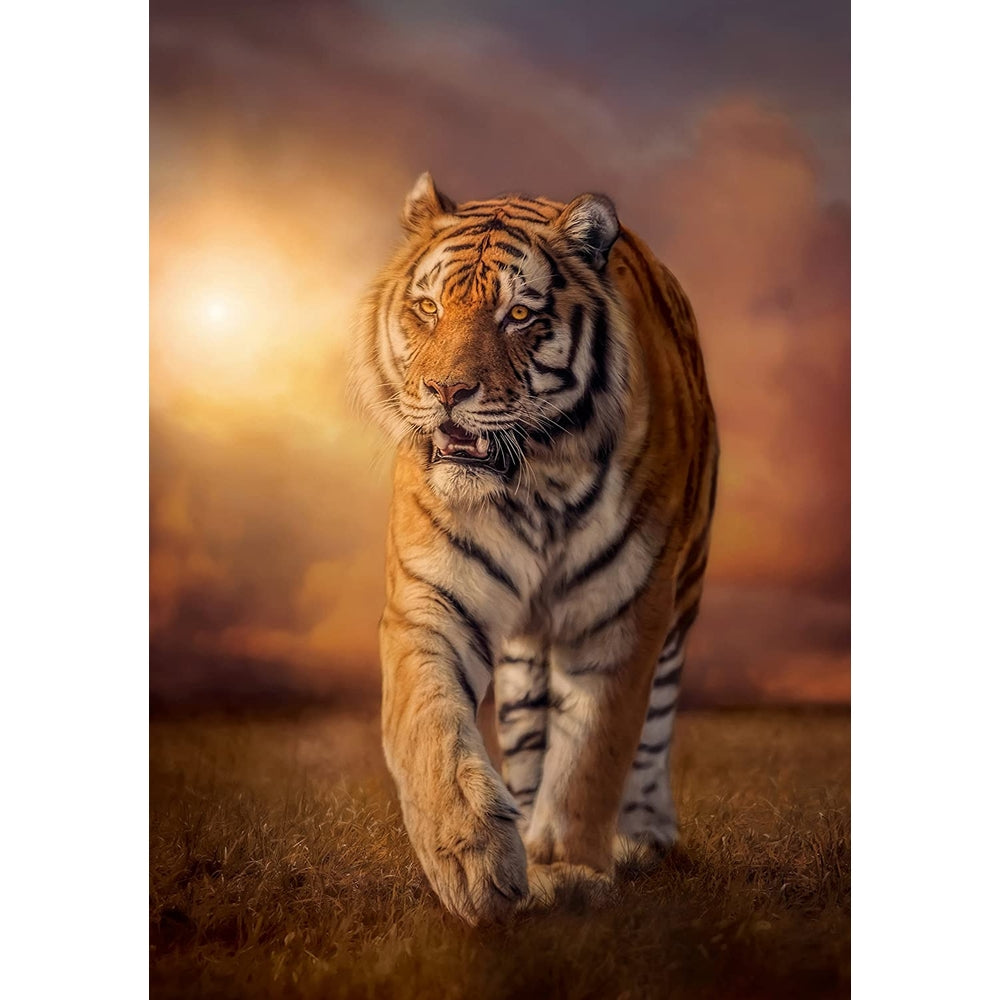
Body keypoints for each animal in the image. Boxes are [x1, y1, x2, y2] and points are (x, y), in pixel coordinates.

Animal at [350, 173, 718, 925]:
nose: (447, 392)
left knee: (654, 727)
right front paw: (472, 859)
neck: (534, 484)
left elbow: (594, 754)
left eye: (518, 315)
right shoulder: (430, 601)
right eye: (428, 308)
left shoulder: (622, 615)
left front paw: (569, 868)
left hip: (682, 595)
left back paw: (643, 834)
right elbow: (429, 725)